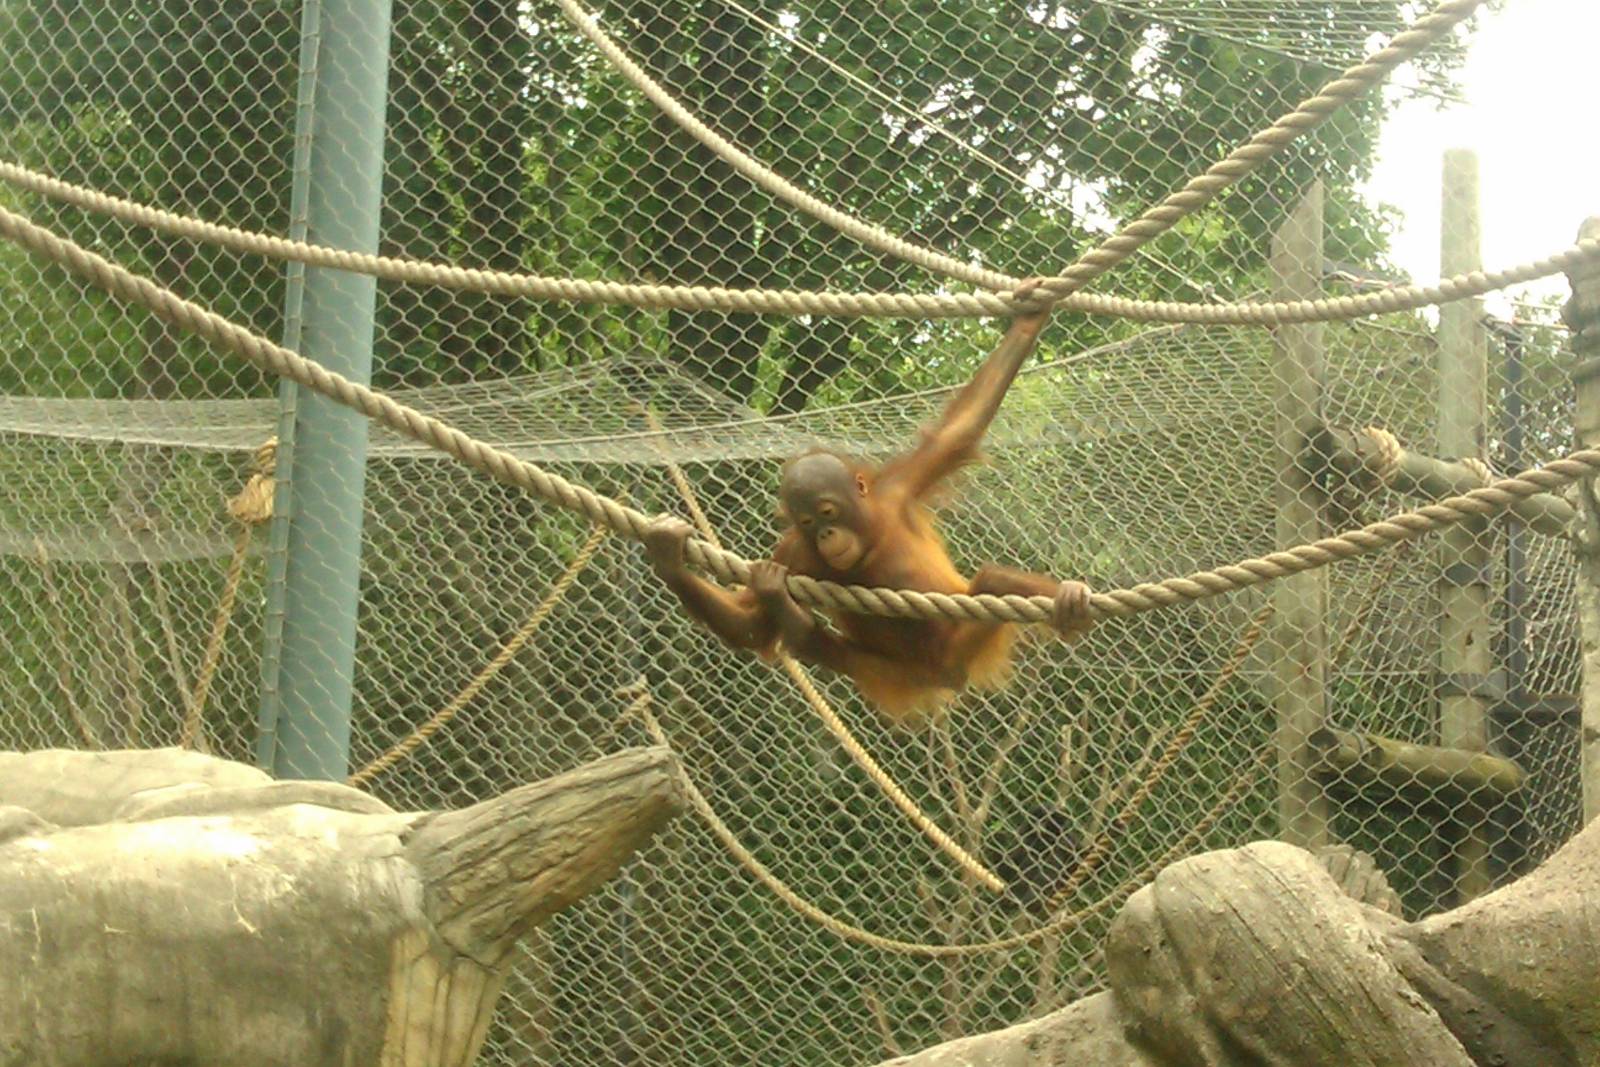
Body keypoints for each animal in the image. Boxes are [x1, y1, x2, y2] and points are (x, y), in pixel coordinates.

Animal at [643, 278, 1094, 727]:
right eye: (806, 523)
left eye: (827, 512)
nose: (827, 534)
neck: (869, 538)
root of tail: (947, 675)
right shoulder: (793, 554)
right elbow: (751, 625)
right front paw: (668, 557)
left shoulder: (898, 488)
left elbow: (960, 429)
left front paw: (1028, 319)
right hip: (894, 671)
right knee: (816, 643)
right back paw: (792, 617)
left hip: (962, 636)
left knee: (996, 582)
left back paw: (1069, 605)